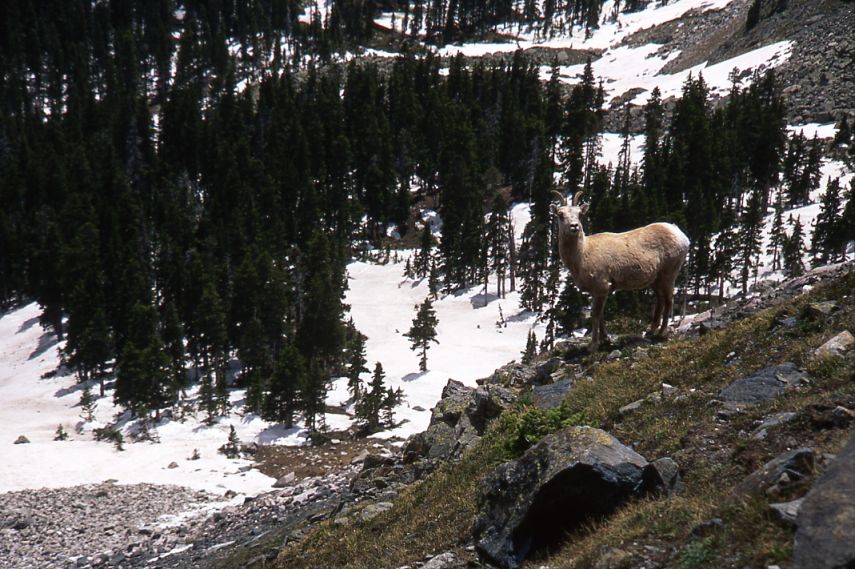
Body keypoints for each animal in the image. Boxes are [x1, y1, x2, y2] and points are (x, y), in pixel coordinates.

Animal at [551, 190, 690, 352]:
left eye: (579, 214)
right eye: (560, 214)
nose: (574, 226)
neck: (583, 254)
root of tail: (681, 235)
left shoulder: (602, 287)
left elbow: (596, 315)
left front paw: (593, 346)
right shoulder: (597, 291)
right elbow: (601, 315)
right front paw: (605, 340)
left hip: (669, 274)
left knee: (668, 300)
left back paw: (661, 333)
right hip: (656, 280)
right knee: (660, 299)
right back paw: (651, 329)